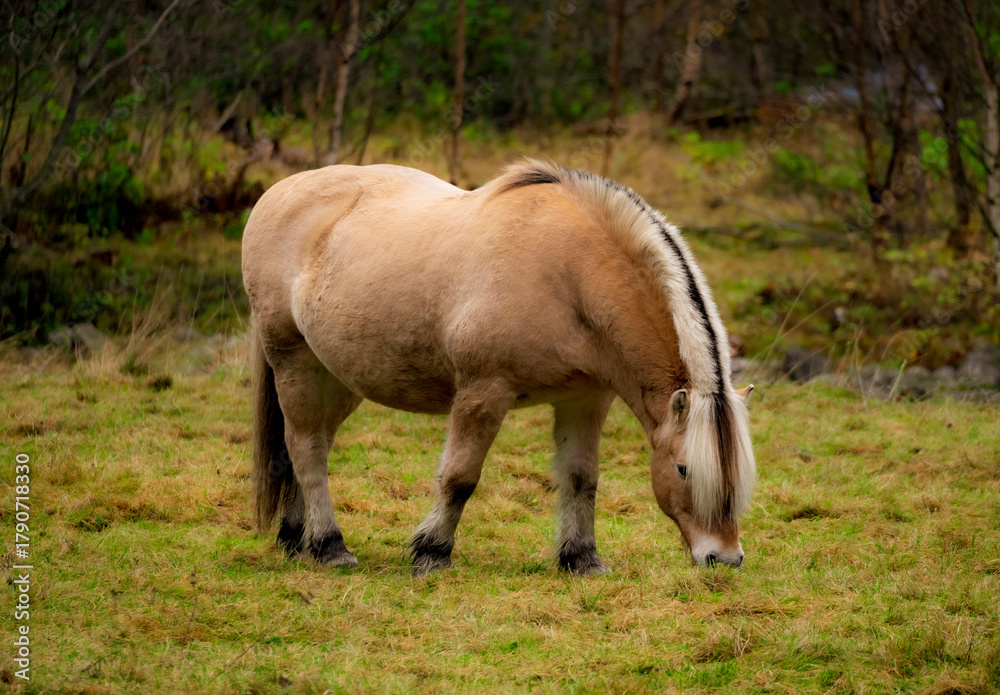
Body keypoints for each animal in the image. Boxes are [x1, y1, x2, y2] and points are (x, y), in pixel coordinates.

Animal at [242, 160, 756, 576]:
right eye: (684, 469)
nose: (724, 558)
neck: (570, 273)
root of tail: (279, 192)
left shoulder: (586, 399)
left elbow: (581, 478)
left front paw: (582, 559)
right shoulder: (484, 392)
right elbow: (459, 477)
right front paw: (432, 552)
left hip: (338, 378)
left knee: (310, 444)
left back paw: (298, 539)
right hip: (294, 363)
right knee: (306, 446)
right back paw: (330, 546)